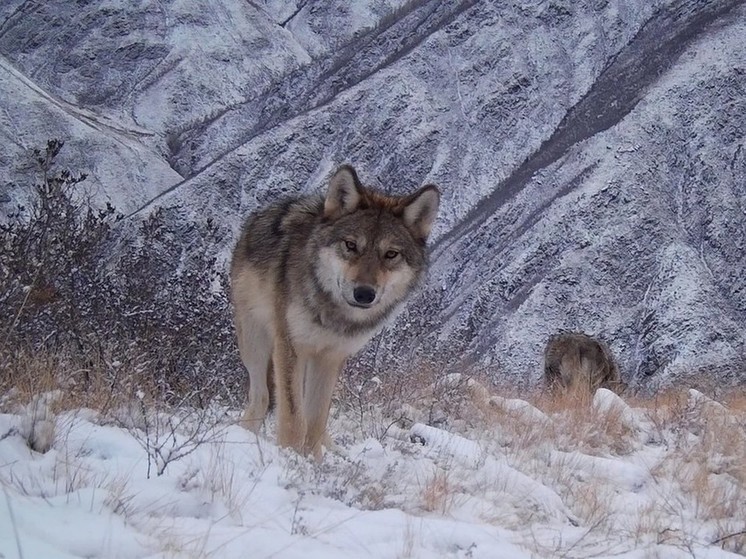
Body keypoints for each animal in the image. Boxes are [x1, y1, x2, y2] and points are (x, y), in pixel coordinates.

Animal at [227, 165, 436, 460]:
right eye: (350, 245)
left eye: (390, 254)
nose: (364, 294)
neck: (333, 314)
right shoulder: (290, 347)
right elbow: (294, 416)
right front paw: (289, 458)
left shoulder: (330, 357)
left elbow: (315, 419)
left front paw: (313, 461)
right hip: (256, 344)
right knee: (262, 398)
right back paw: (243, 435)